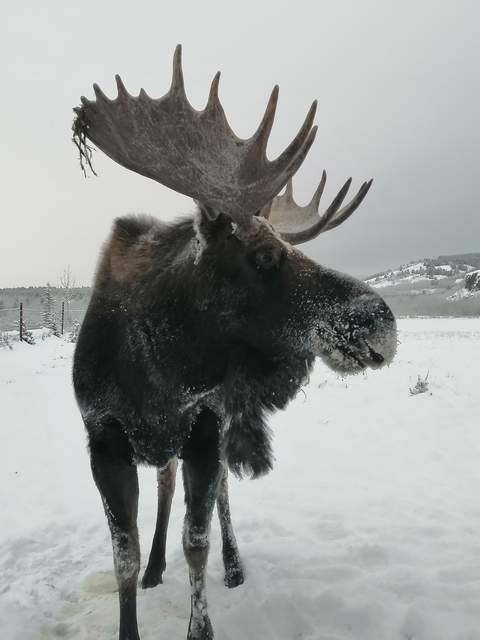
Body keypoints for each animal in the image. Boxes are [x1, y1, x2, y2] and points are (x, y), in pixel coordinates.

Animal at [72, 45, 397, 640]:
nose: (381, 322)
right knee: (166, 485)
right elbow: (124, 556)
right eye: (265, 256)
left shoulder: (205, 425)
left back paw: (234, 563)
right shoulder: (103, 438)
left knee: (217, 492)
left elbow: (196, 542)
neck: (160, 370)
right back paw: (157, 568)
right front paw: (139, 588)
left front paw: (202, 622)